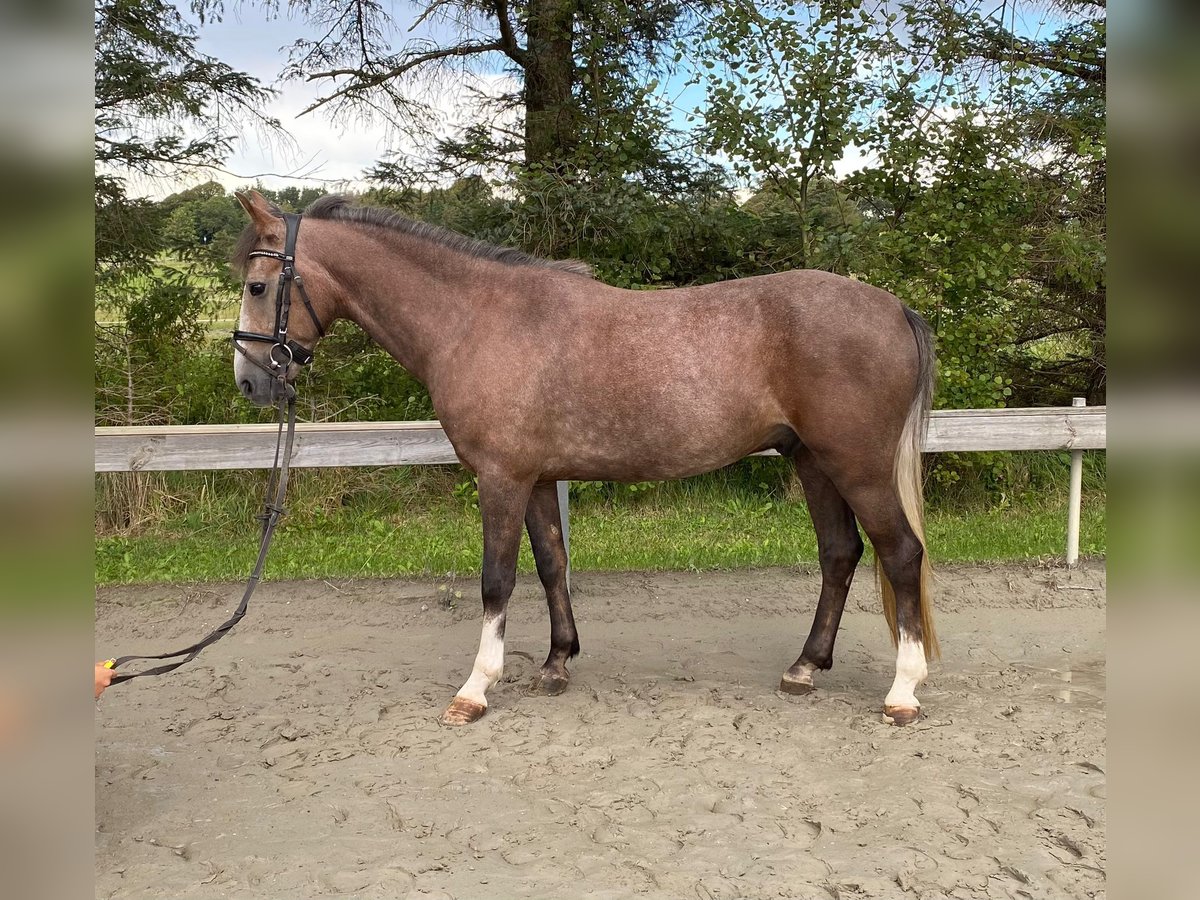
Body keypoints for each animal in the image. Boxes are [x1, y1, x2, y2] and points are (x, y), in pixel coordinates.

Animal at [234, 190, 940, 724]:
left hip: (856, 465)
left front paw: (475, 689)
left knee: (900, 553)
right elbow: (552, 564)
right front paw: (556, 662)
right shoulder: (539, 478)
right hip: (813, 461)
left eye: (258, 285)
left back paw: (903, 692)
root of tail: (894, 308)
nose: (250, 382)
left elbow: (497, 579)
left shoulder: (501, 478)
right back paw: (804, 668)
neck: (477, 319)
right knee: (840, 554)